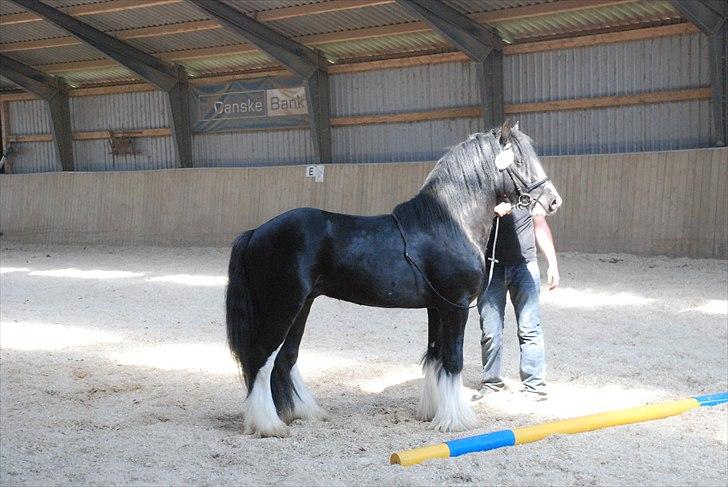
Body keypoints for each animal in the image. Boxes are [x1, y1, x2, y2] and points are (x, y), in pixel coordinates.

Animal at [228, 121, 564, 438]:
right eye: (518, 161)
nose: (553, 202)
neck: (449, 222)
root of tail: (255, 233)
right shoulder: (455, 307)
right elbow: (452, 361)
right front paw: (456, 421)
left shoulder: (436, 308)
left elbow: (434, 357)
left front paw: (433, 413)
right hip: (282, 307)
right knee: (261, 358)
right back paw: (268, 425)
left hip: (302, 306)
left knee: (287, 357)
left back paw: (304, 413)